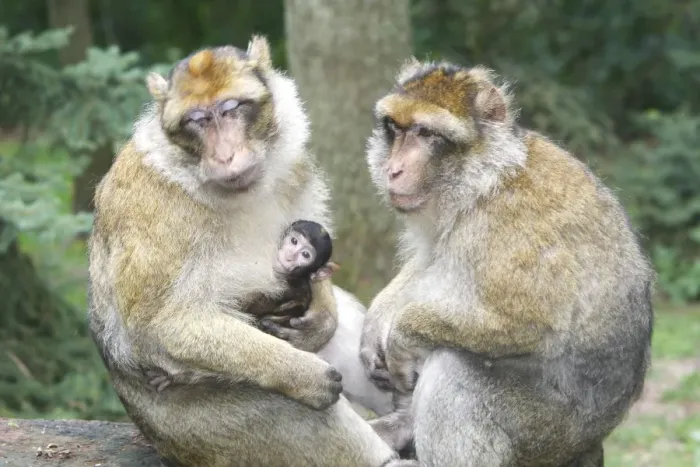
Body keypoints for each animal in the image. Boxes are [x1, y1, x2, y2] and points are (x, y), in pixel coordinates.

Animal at [87, 36, 416, 467]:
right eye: (197, 120)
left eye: (231, 109)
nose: (225, 155)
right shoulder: (152, 212)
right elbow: (157, 326)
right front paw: (301, 375)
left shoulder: (295, 170)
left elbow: (318, 277)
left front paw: (321, 319)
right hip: (201, 431)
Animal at [359, 58, 654, 466]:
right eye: (396, 130)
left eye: (425, 133)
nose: (394, 169)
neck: (486, 180)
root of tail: (590, 442)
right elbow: (428, 260)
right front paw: (377, 319)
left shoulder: (505, 224)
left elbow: (525, 322)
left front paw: (402, 330)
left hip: (543, 432)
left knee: (453, 369)